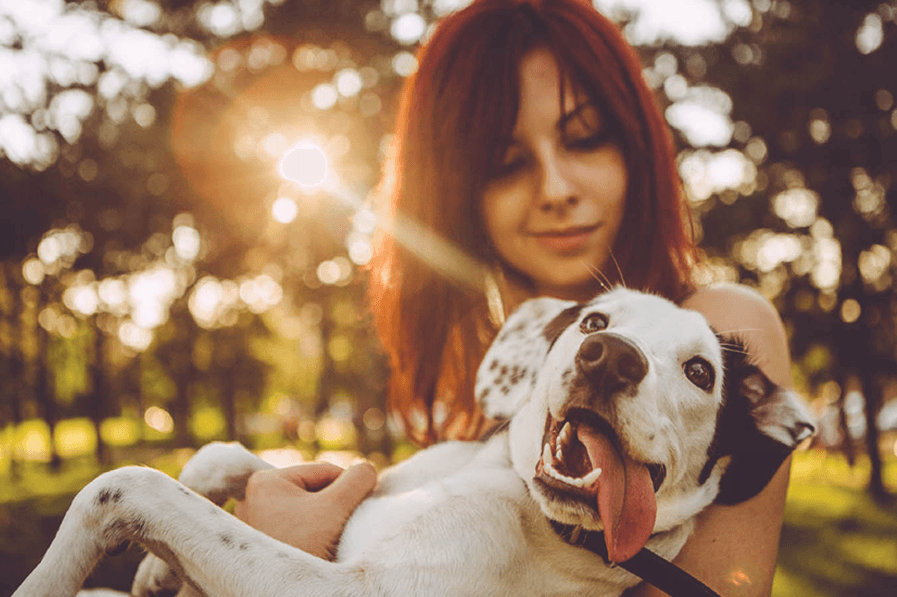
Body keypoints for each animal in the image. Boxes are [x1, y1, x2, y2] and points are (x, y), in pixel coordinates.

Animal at [12, 286, 812, 592]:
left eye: (701, 371)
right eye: (594, 321)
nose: (608, 356)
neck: (510, 489)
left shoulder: (347, 588)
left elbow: (127, 484)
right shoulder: (366, 476)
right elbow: (218, 456)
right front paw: (156, 570)